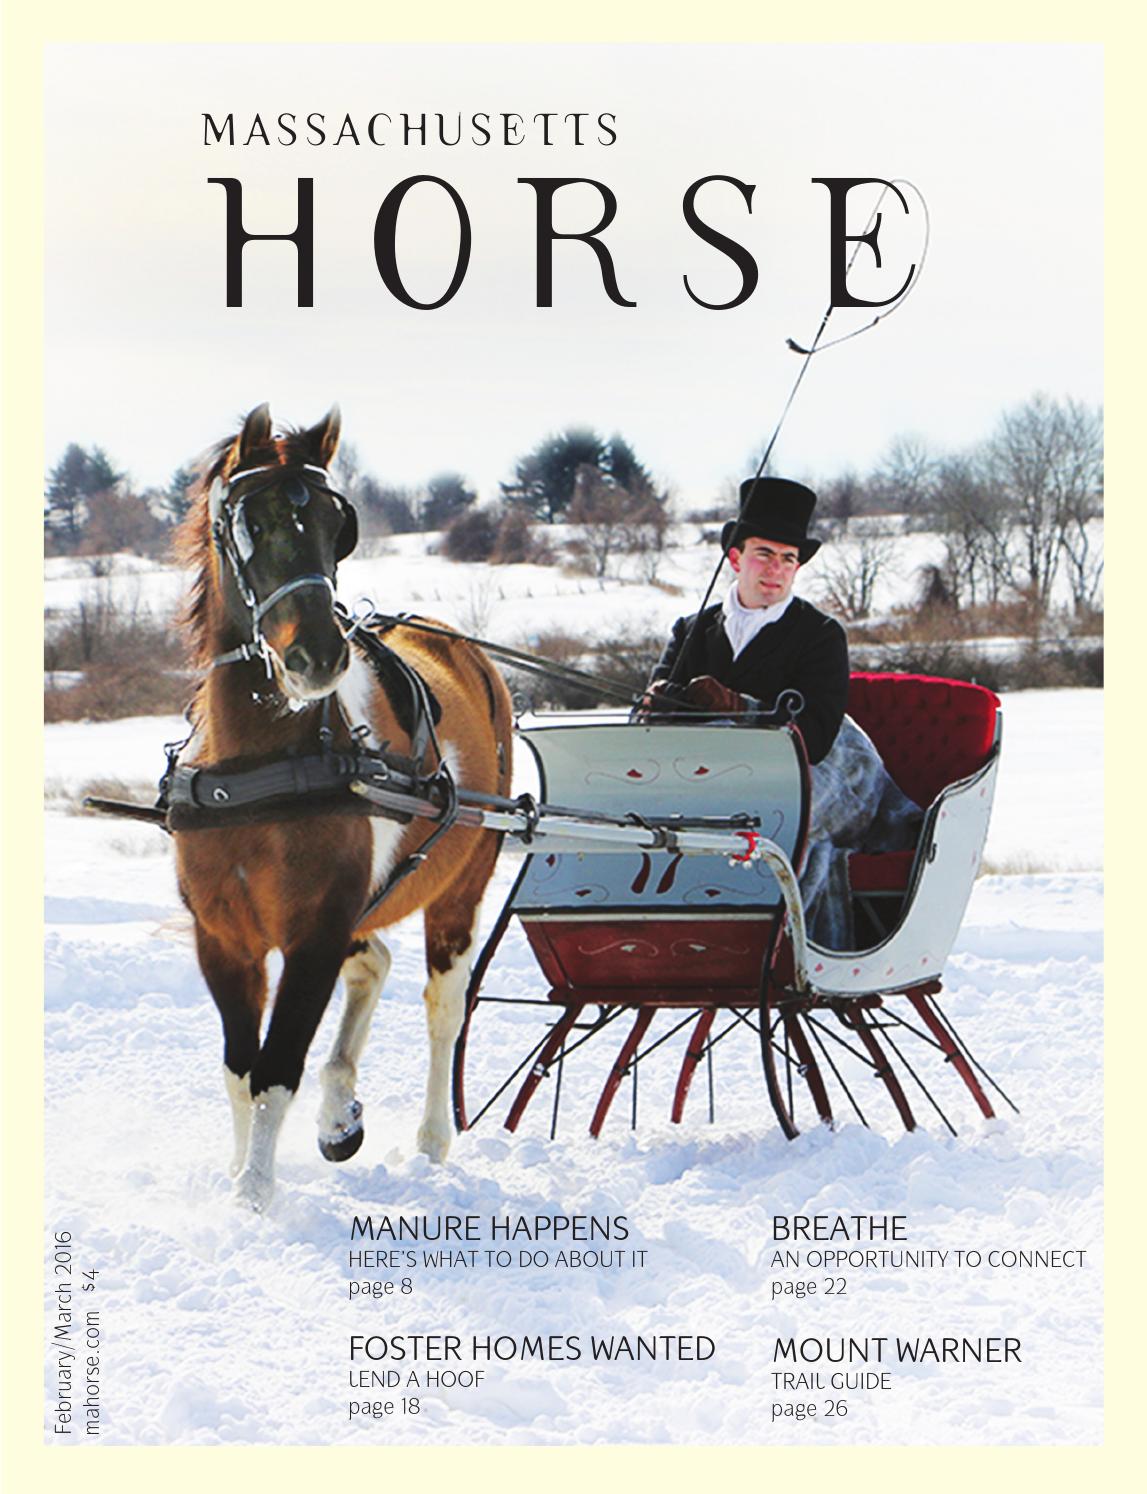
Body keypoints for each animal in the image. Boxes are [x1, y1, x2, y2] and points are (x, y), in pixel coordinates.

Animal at [173, 404, 513, 1210]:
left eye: (336, 525)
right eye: (251, 522)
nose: (319, 658)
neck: (256, 770)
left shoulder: (315, 932)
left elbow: (275, 1072)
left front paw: (254, 1198)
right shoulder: (223, 939)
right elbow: (240, 1073)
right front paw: (242, 1173)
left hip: (458, 892)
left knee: (442, 1007)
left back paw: (430, 1138)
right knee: (375, 964)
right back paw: (339, 1113)